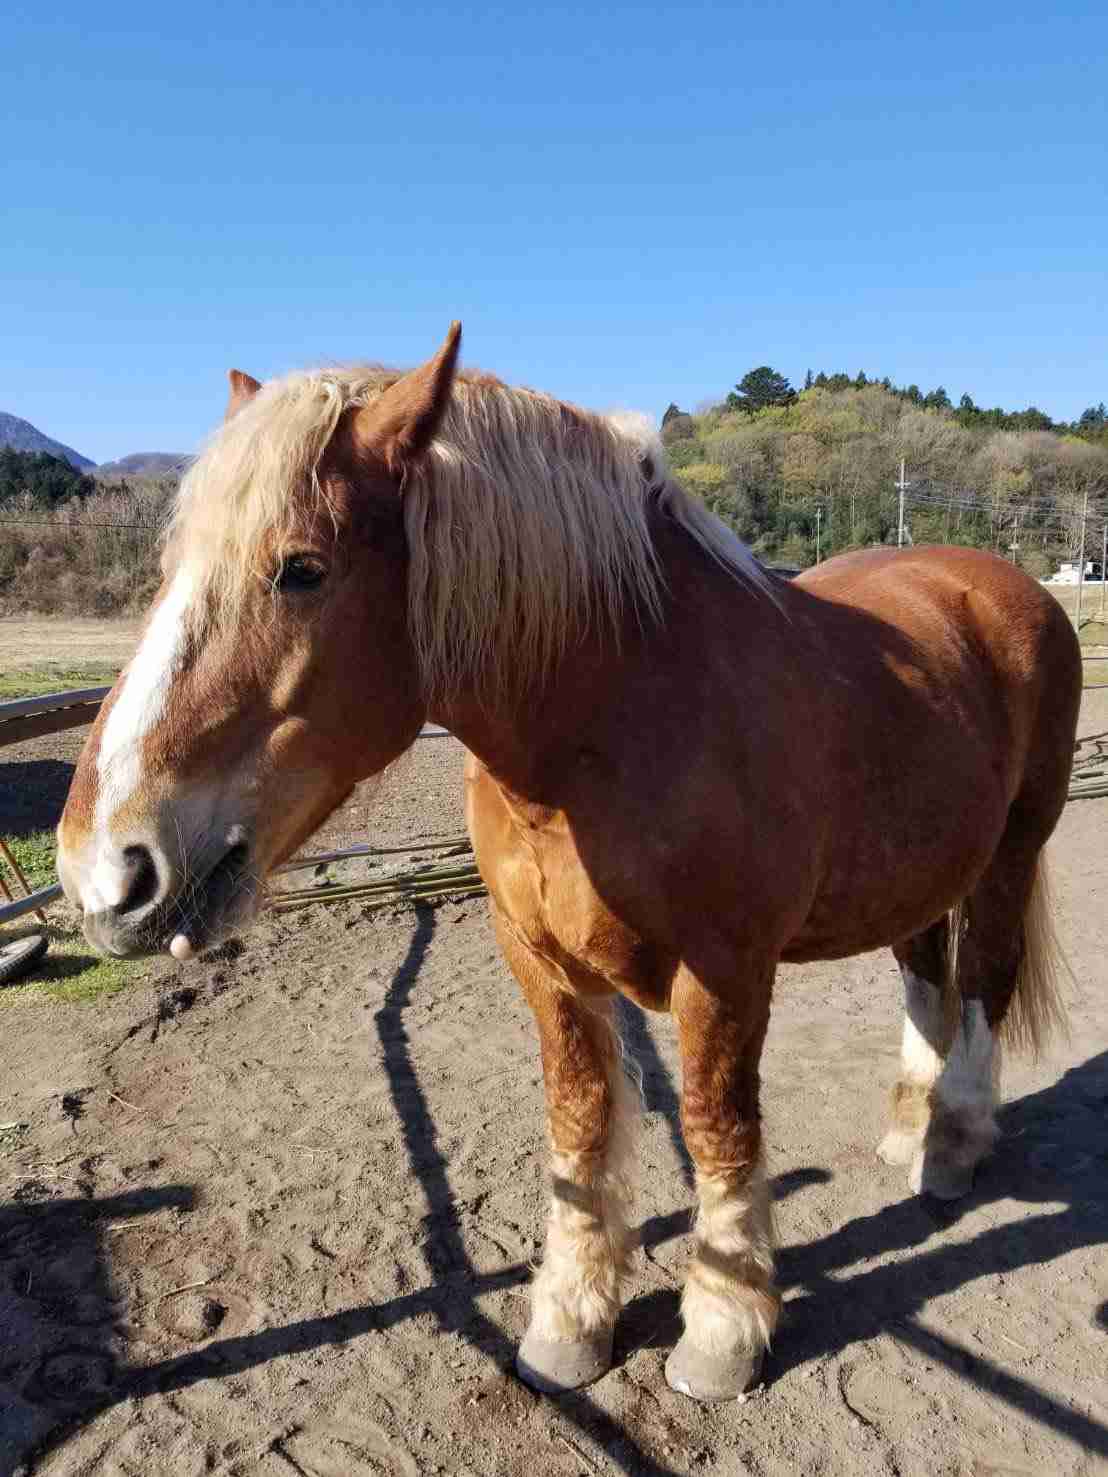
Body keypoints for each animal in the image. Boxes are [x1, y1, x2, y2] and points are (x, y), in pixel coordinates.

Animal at [57, 325, 1081, 1403]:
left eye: (300, 567)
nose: (105, 869)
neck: (617, 716)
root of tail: (1002, 587)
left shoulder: (724, 976)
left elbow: (717, 1128)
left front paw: (722, 1332)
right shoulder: (543, 964)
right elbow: (580, 1125)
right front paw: (572, 1321)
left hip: (1012, 851)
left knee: (984, 982)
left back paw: (954, 1141)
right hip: (920, 870)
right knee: (927, 977)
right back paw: (907, 1129)